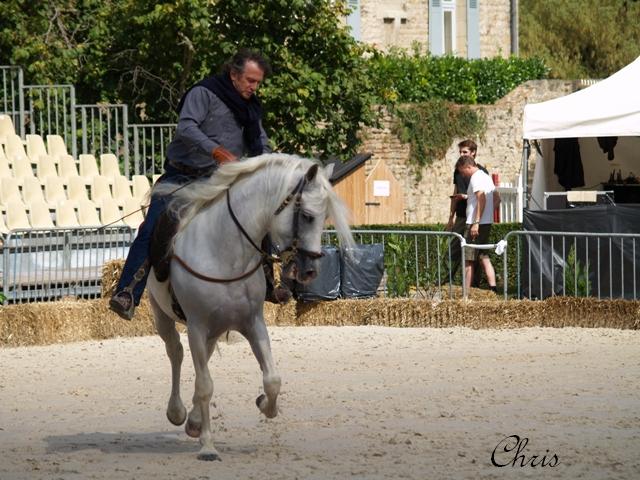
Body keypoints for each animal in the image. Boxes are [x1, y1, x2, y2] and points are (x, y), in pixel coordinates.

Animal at [148, 154, 352, 462]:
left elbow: (272, 379)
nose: (310, 271)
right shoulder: (197, 326)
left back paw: (194, 420)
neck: (225, 252)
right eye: (307, 216)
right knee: (176, 352)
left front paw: (265, 405)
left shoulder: (253, 323)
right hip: (163, 316)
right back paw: (178, 412)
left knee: (201, 358)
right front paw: (208, 446)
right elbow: (205, 386)